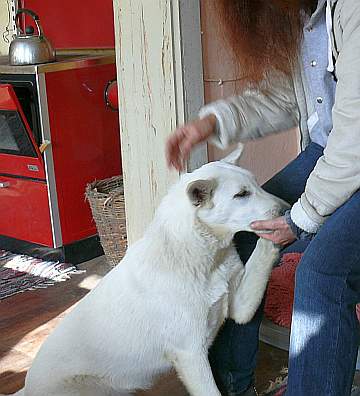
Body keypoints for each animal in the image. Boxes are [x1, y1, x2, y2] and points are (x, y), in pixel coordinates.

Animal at [6, 146, 286, 396]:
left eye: (256, 184)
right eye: (241, 194)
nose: (285, 207)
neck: (203, 255)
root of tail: (27, 388)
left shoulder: (239, 307)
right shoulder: (191, 354)